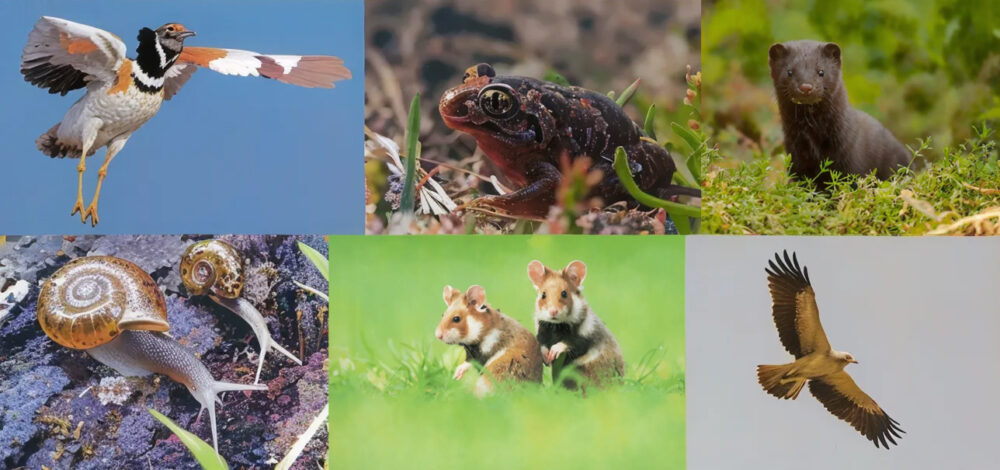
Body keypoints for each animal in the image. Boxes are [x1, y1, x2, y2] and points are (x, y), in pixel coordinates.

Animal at [527, 260, 624, 390]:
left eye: (564, 293)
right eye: (543, 294)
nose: (553, 311)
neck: (556, 326)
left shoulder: (587, 335)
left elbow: (571, 343)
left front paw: (554, 352)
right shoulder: (542, 330)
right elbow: (541, 344)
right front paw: (547, 357)